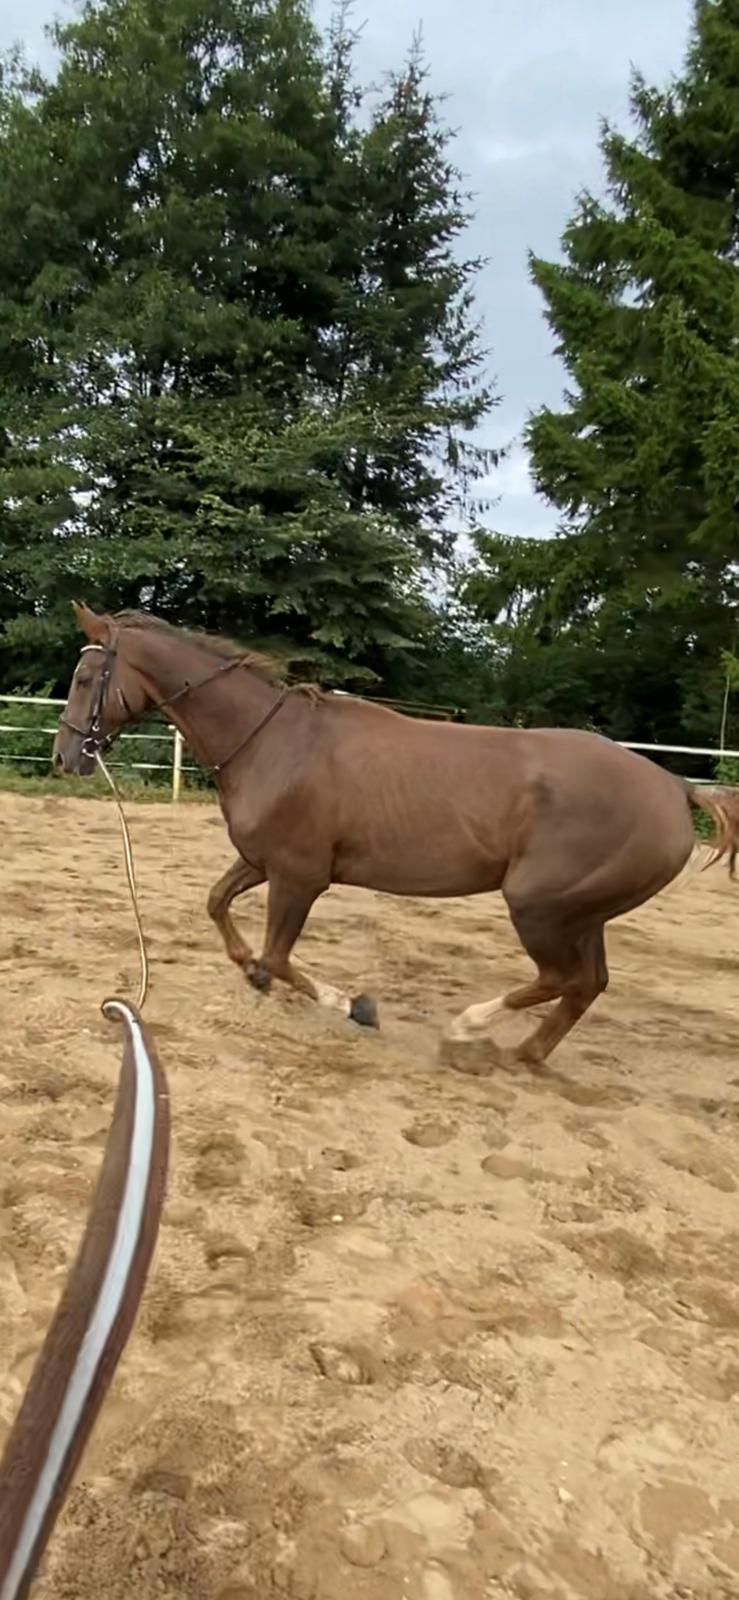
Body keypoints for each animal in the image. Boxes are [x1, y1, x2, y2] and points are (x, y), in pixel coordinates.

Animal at [53, 604, 739, 1068]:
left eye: (86, 680)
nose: (65, 756)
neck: (272, 743)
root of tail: (674, 787)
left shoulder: (300, 877)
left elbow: (280, 957)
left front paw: (352, 1005)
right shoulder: (264, 860)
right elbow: (219, 906)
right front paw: (251, 971)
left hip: (540, 907)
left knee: (561, 980)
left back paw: (467, 1029)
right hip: (583, 913)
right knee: (586, 984)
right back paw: (526, 1054)